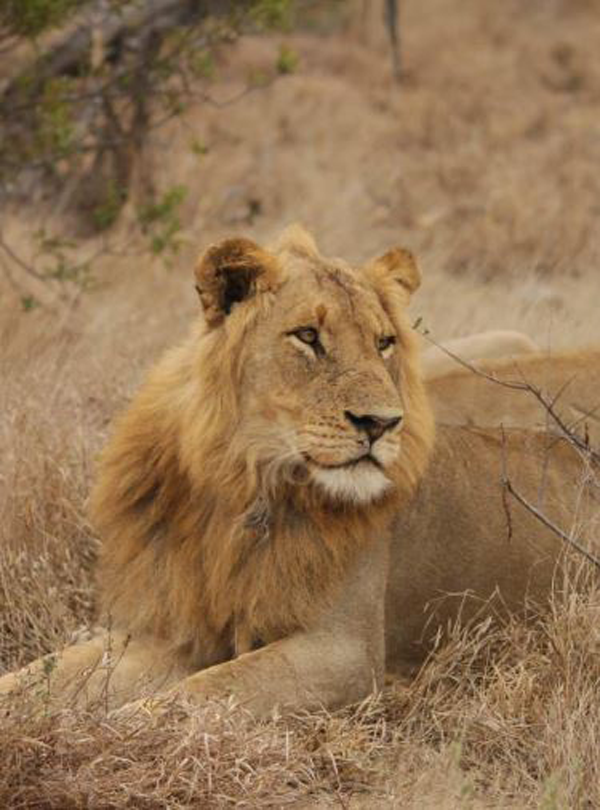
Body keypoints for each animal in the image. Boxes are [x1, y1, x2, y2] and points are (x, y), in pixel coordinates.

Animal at [0, 227, 593, 716]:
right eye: (308, 336)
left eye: (384, 343)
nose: (381, 423)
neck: (239, 483)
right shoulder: (179, 630)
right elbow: (47, 673)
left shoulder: (345, 651)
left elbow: (194, 698)